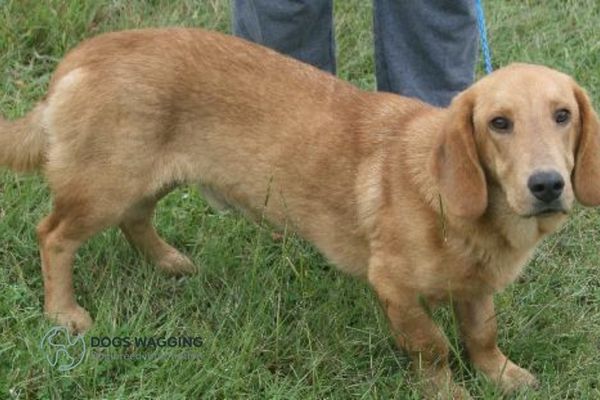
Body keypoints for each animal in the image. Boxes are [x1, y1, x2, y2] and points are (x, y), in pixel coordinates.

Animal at [1, 28, 600, 396]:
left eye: (563, 115)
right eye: (499, 123)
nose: (547, 185)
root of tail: (81, 57)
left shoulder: (475, 290)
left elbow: (482, 335)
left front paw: (500, 374)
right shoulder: (395, 289)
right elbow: (432, 348)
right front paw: (448, 391)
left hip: (145, 179)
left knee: (136, 219)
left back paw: (168, 262)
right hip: (104, 187)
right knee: (52, 235)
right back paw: (64, 313)